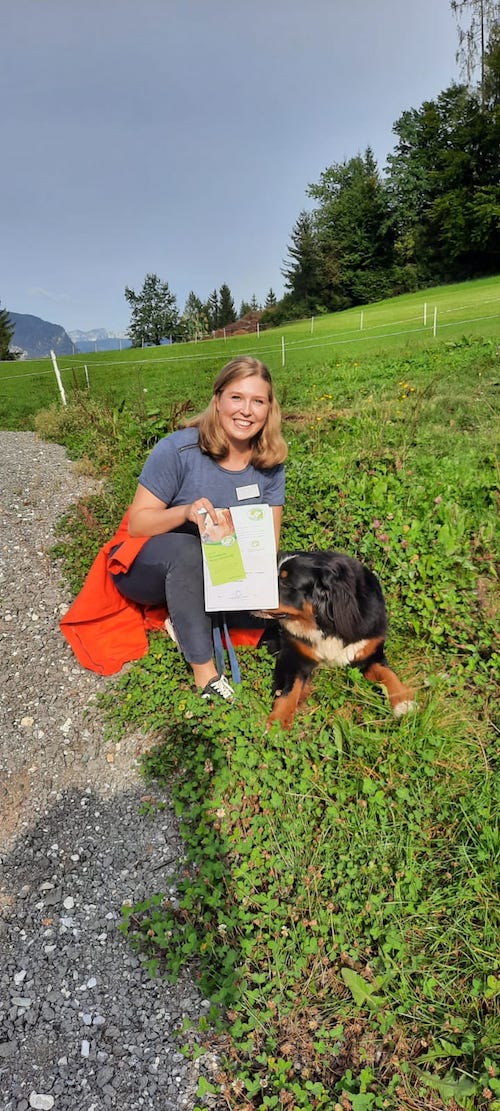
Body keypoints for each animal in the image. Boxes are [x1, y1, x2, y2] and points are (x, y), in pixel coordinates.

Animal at [257, 548, 413, 728]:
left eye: (286, 583)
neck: (326, 625)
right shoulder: (294, 654)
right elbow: (287, 691)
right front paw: (278, 724)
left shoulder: (370, 651)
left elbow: (388, 673)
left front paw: (403, 703)